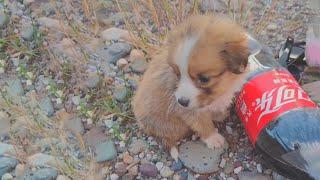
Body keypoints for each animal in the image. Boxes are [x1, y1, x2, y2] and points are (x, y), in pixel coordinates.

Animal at [132, 14, 250, 160]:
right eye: (177, 73)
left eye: (204, 79)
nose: (182, 101)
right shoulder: (189, 111)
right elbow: (203, 123)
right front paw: (213, 138)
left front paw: (218, 115)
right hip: (173, 126)